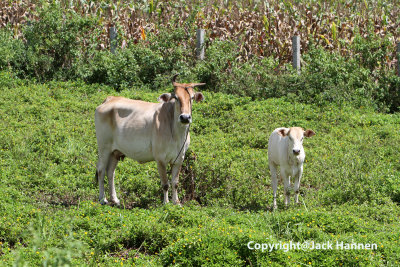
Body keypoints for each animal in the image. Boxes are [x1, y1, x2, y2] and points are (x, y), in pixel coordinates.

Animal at [95, 76, 205, 206]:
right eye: (176, 98)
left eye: (192, 98)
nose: (185, 117)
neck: (176, 133)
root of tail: (109, 99)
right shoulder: (160, 158)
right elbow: (165, 184)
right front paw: (166, 203)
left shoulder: (179, 158)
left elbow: (175, 183)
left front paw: (176, 202)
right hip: (104, 147)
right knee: (101, 170)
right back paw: (102, 199)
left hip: (115, 152)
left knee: (110, 172)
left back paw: (115, 199)